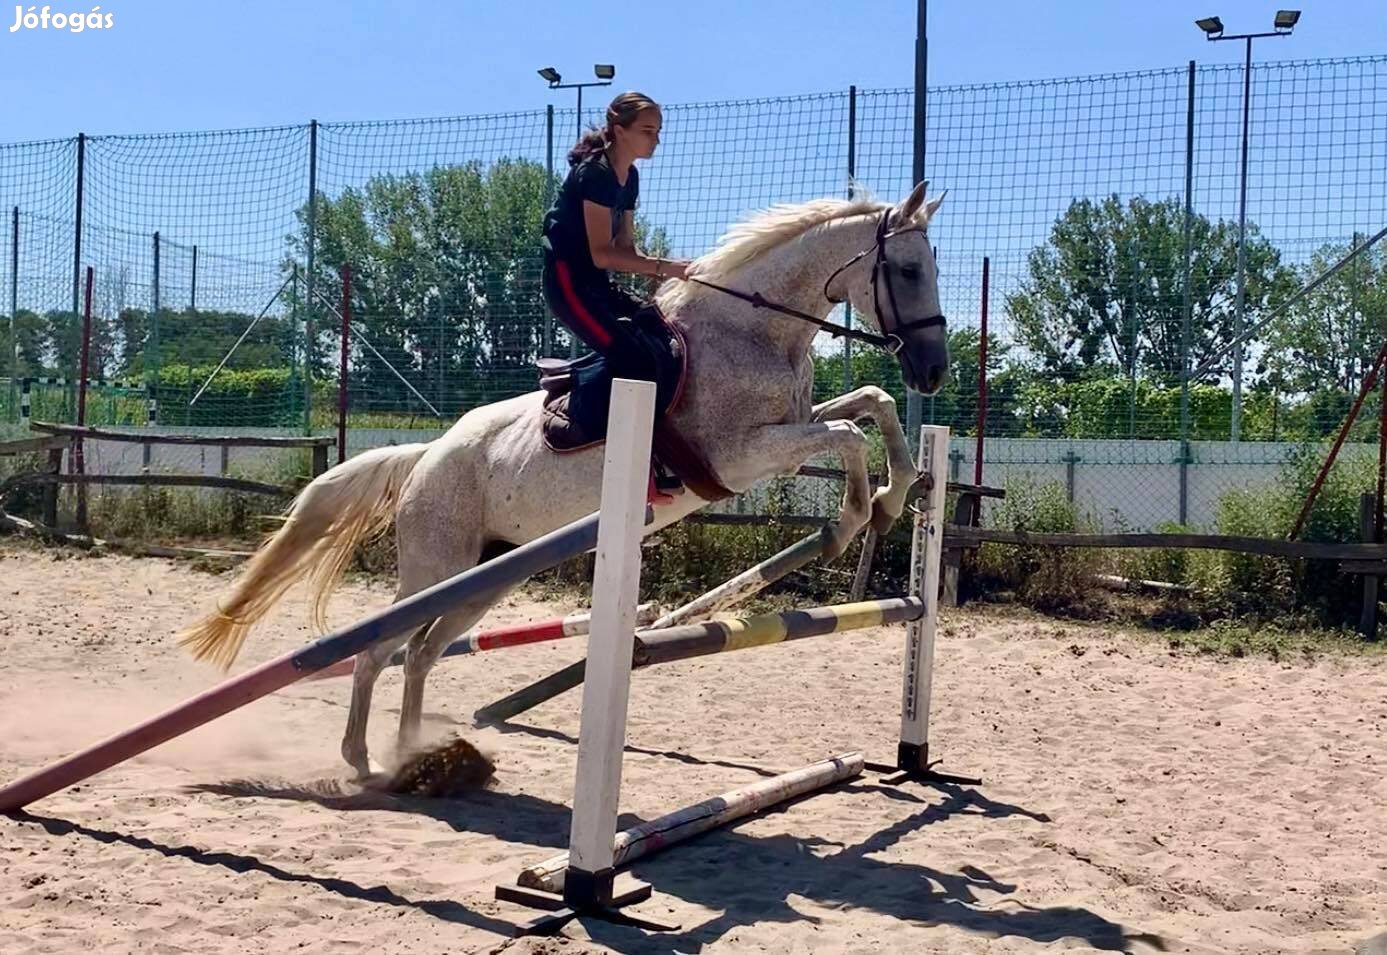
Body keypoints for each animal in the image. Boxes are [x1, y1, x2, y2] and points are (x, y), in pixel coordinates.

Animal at [178, 180, 948, 776]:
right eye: (909, 271)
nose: (935, 371)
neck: (755, 333)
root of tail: (427, 456)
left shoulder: (790, 426)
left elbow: (871, 403)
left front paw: (901, 489)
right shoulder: (739, 456)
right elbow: (848, 434)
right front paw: (860, 516)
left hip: (487, 579)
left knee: (421, 652)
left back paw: (414, 752)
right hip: (435, 567)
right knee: (377, 650)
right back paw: (363, 760)